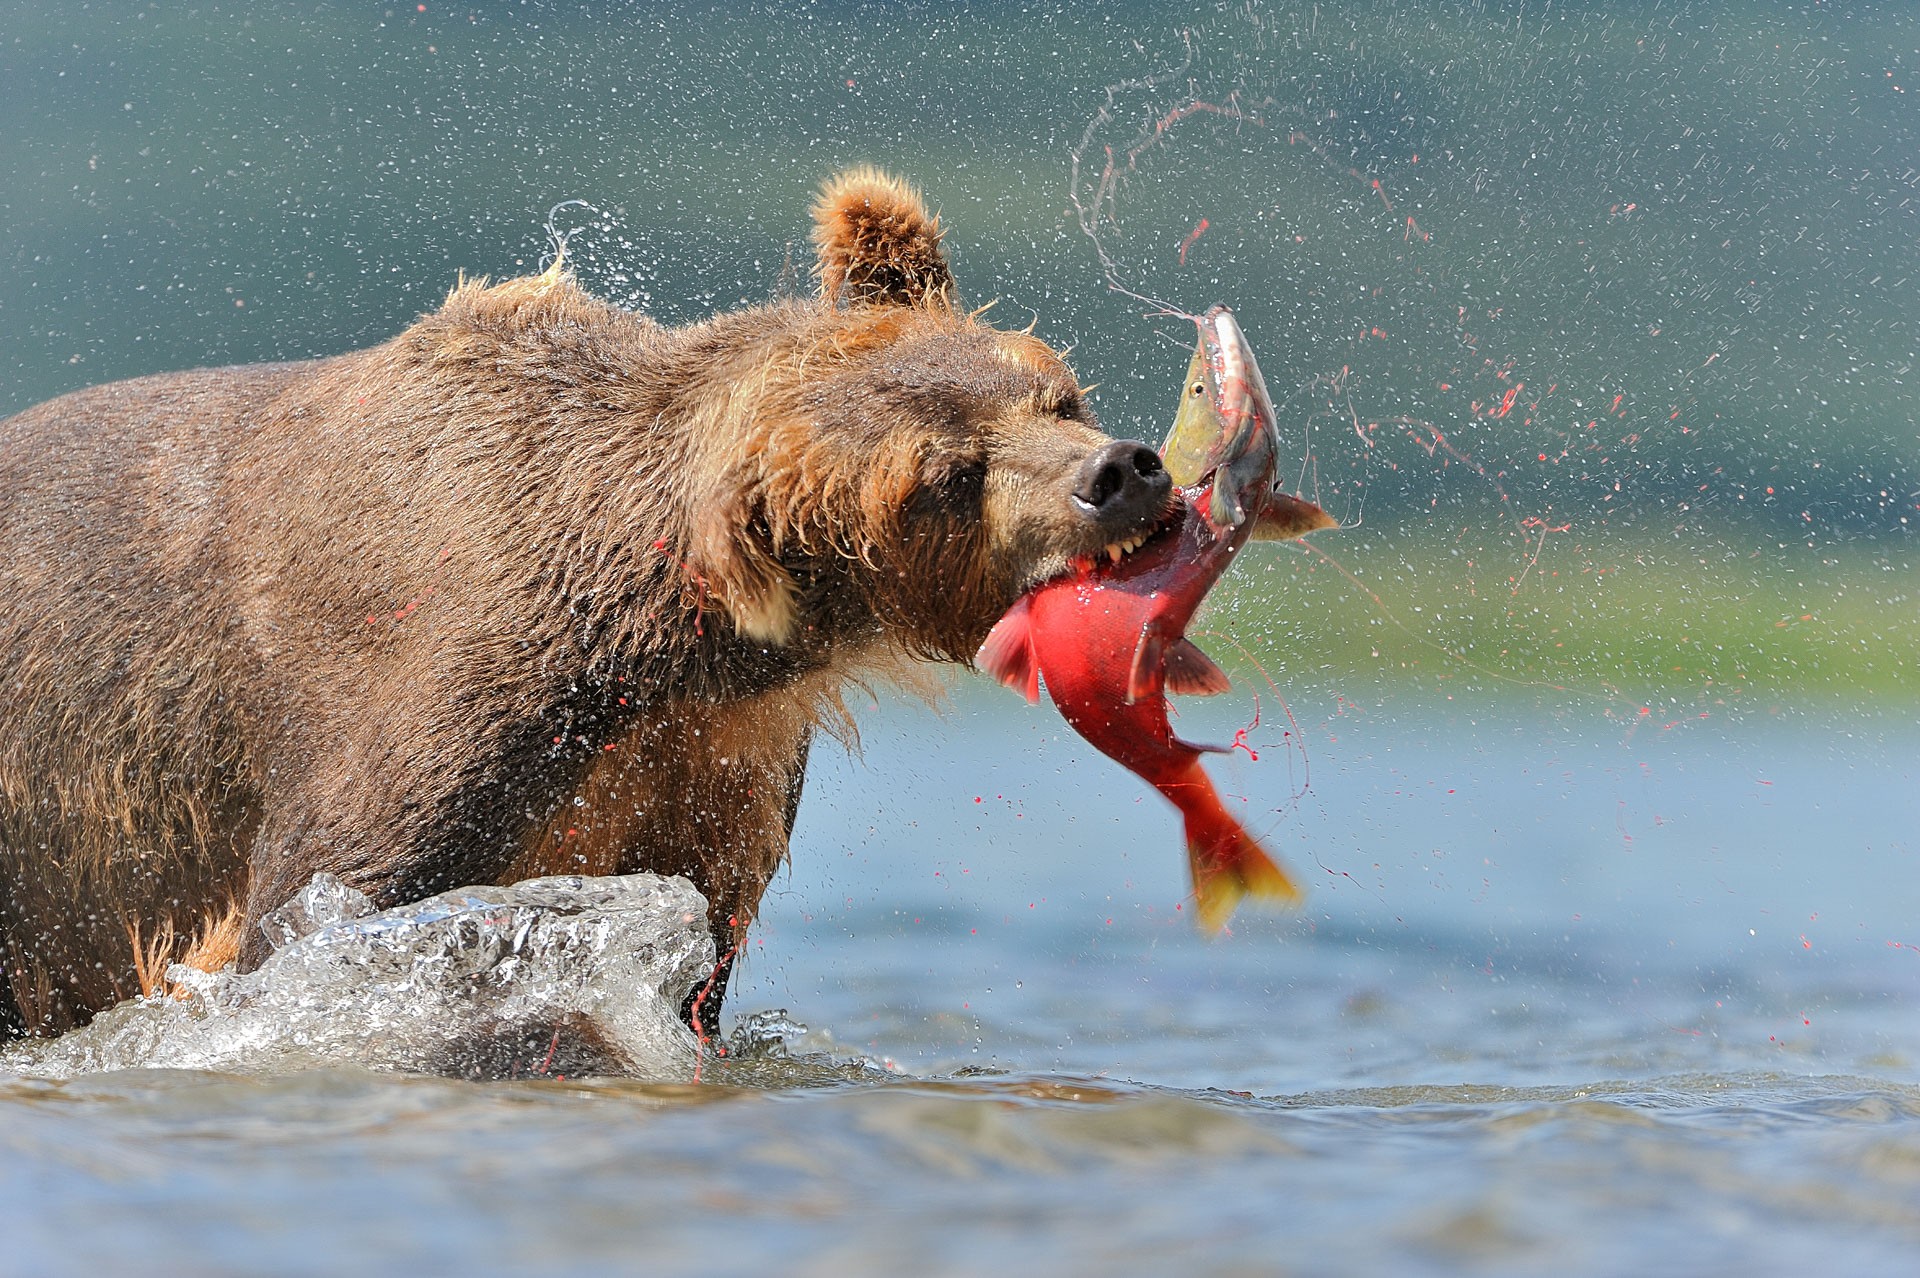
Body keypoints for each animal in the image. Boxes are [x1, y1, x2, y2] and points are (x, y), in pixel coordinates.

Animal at [0, 168, 1167, 1043]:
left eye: (1053, 393)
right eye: (944, 478)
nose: (1118, 473)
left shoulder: (706, 762)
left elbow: (693, 946)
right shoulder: (429, 704)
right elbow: (313, 915)